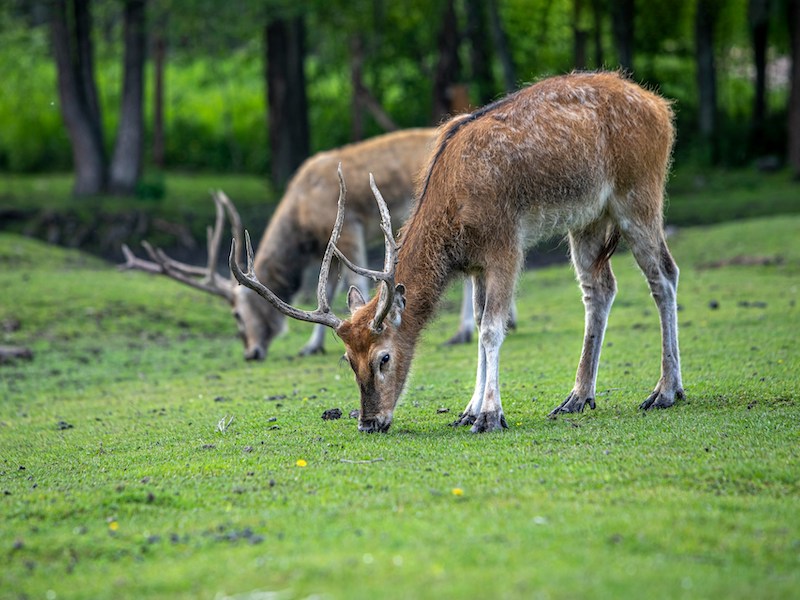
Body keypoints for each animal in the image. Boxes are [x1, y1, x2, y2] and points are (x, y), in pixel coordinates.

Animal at [122, 128, 488, 358]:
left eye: (237, 315)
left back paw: (462, 333)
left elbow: (353, 283)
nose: (251, 353)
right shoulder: (331, 246)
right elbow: (329, 287)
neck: (301, 218)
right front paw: (312, 345)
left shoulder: (348, 229)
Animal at [230, 72, 680, 434]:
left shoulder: (504, 245)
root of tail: (661, 107)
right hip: (588, 219)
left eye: (384, 358)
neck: (454, 215)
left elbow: (492, 328)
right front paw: (468, 410)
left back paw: (666, 391)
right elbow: (479, 324)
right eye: (347, 361)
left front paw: (490, 416)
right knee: (599, 289)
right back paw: (577, 397)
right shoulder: (476, 263)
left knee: (664, 274)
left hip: (639, 194)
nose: (369, 423)